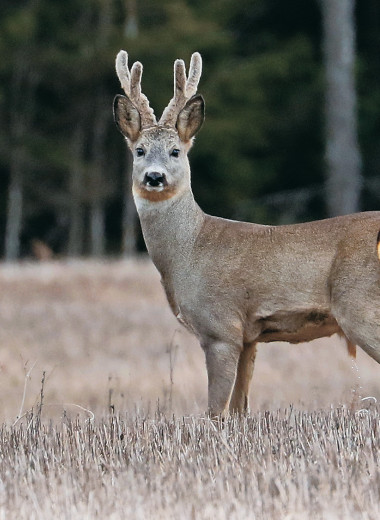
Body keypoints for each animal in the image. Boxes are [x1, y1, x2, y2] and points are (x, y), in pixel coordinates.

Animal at [113, 50, 380, 418]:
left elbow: (215, 411)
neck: (187, 252)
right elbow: (240, 410)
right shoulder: (250, 337)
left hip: (361, 304)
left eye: (175, 151)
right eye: (139, 150)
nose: (154, 177)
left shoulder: (220, 327)